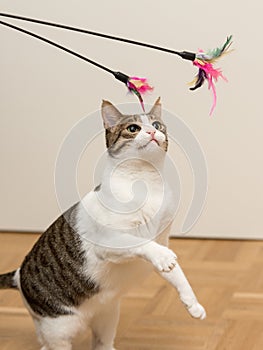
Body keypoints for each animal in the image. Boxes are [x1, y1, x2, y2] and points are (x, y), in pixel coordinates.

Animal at [0, 98, 206, 350]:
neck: (146, 182)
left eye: (157, 124)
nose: (151, 131)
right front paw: (162, 257)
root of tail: (19, 274)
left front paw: (192, 303)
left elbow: (177, 274)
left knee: (102, 344)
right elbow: (142, 244)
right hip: (58, 331)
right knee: (49, 345)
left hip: (107, 316)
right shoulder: (109, 242)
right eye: (133, 128)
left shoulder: (161, 239)